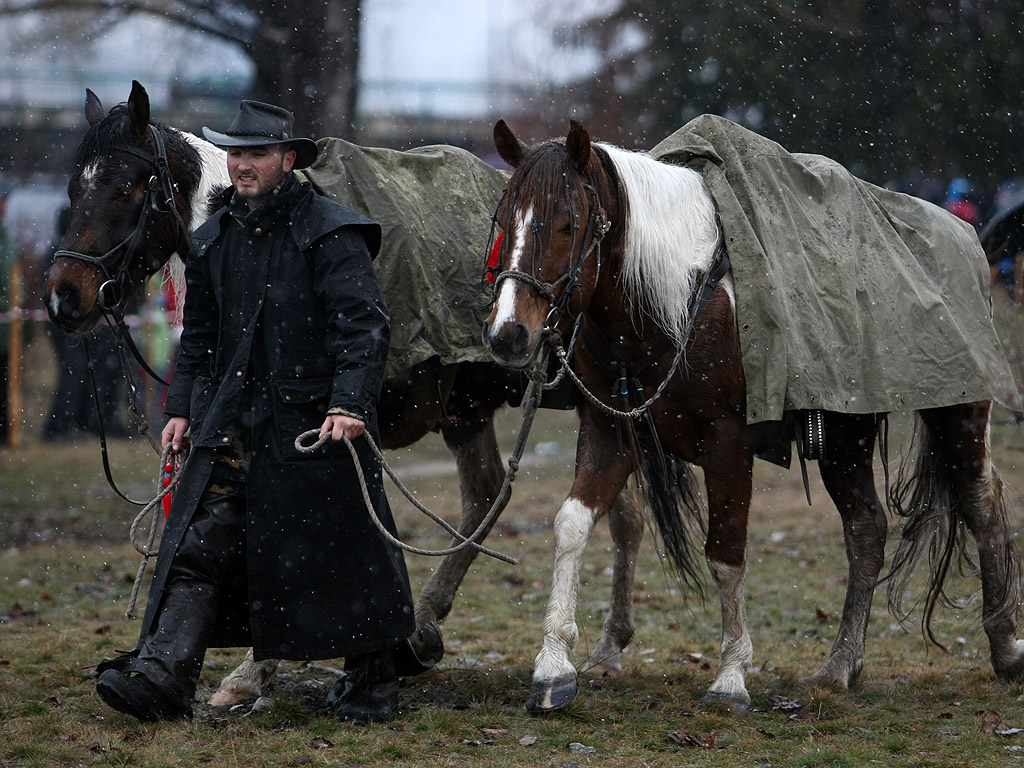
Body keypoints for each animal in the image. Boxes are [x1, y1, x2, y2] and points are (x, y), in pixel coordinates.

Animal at [481, 118, 1024, 716]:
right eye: (503, 220)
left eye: (569, 223)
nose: (508, 334)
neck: (678, 300)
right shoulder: (611, 431)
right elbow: (572, 525)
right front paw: (553, 667)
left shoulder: (729, 441)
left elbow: (725, 551)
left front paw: (731, 675)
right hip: (844, 439)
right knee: (866, 530)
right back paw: (841, 665)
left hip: (959, 417)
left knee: (982, 505)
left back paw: (1005, 647)